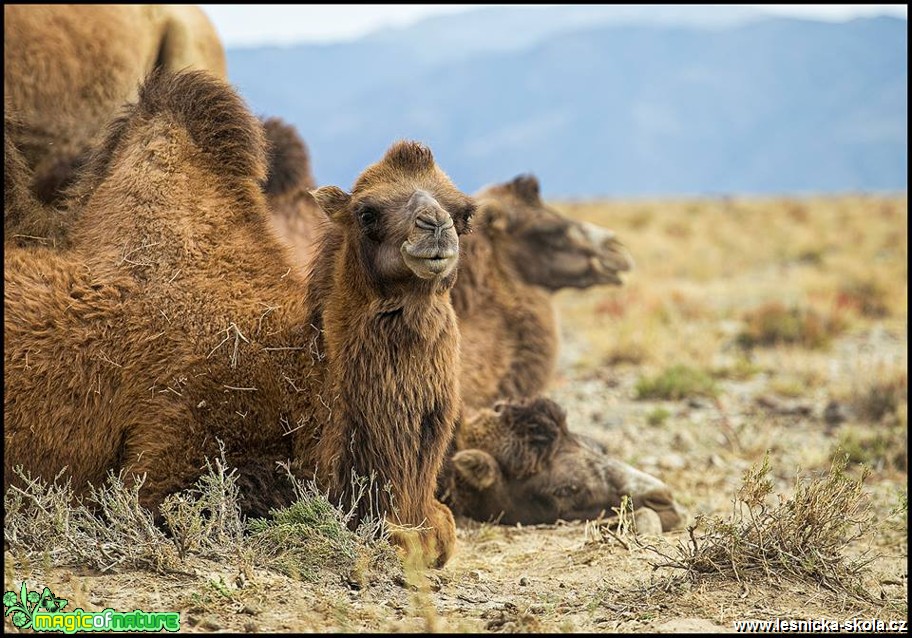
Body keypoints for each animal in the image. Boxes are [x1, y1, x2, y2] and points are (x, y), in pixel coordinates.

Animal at [5, 70, 478, 568]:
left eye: (464, 214)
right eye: (367, 212)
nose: (436, 227)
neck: (307, 377)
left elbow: (441, 532)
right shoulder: (172, 451)